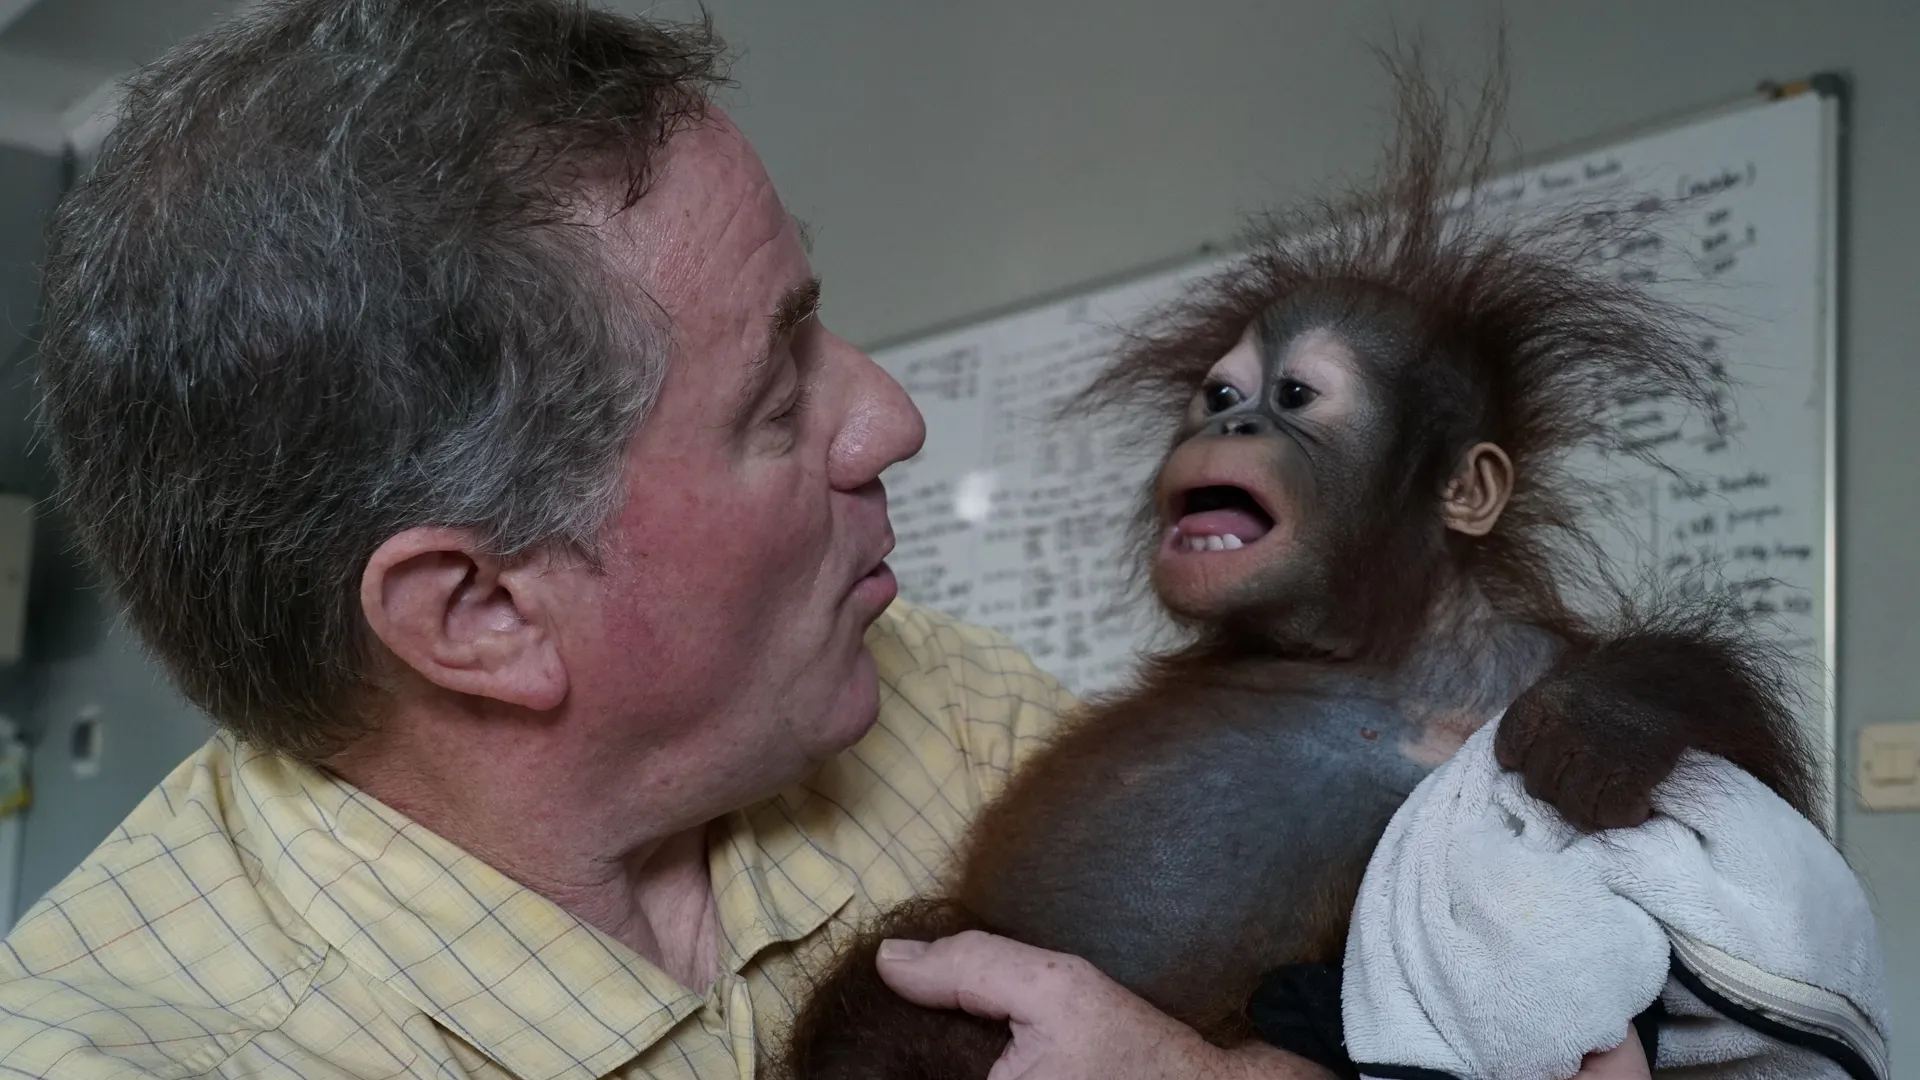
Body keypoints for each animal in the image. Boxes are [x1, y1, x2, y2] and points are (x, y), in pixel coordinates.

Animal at [772, 53, 1818, 1080]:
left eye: (1298, 396)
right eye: (1221, 395)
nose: (1232, 425)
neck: (1366, 649)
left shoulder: (1515, 663)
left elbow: (1754, 784)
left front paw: (1604, 721)